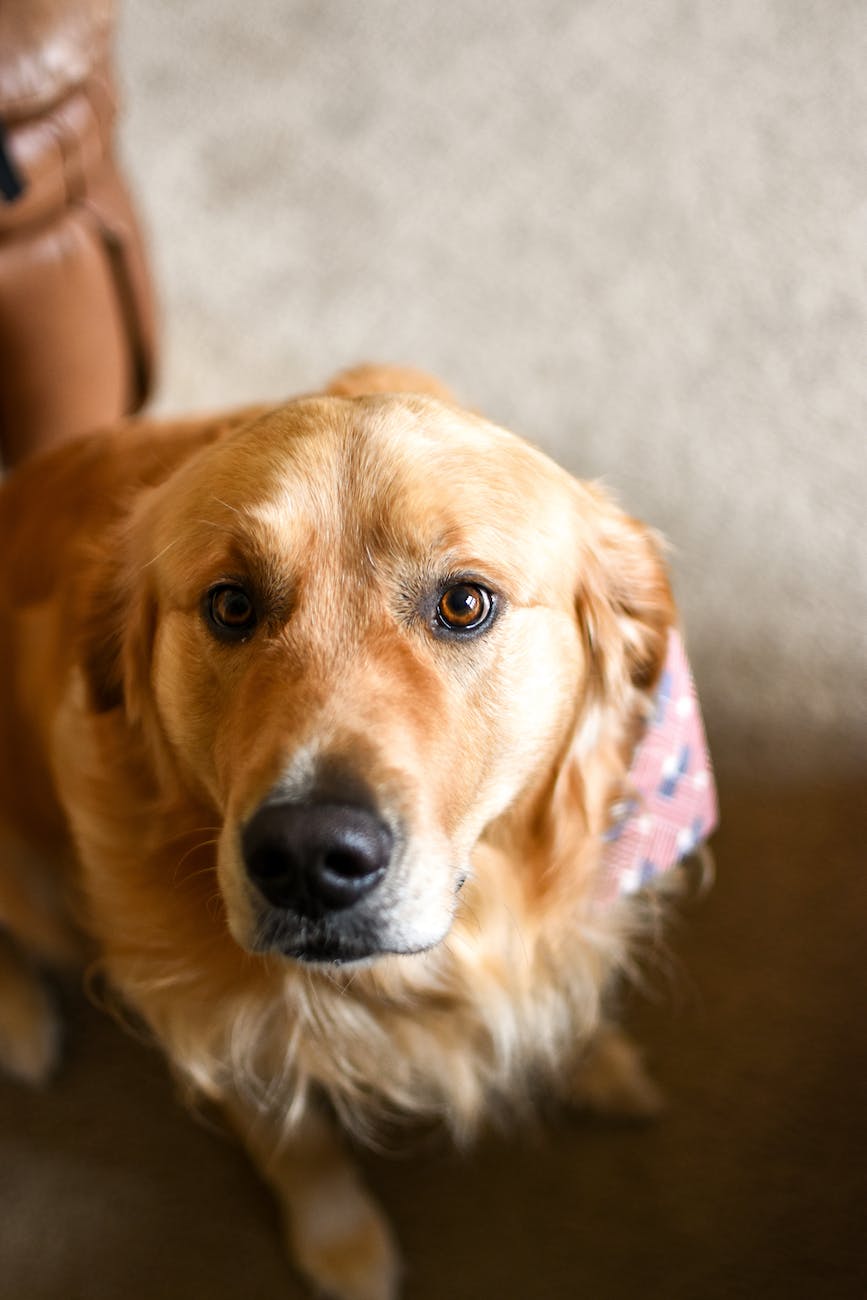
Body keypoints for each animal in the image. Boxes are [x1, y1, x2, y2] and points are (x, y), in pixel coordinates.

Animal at [0, 366, 712, 1300]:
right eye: (231, 604)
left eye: (463, 602)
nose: (307, 858)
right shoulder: (223, 1023)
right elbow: (295, 1143)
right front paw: (341, 1244)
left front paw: (592, 1060)